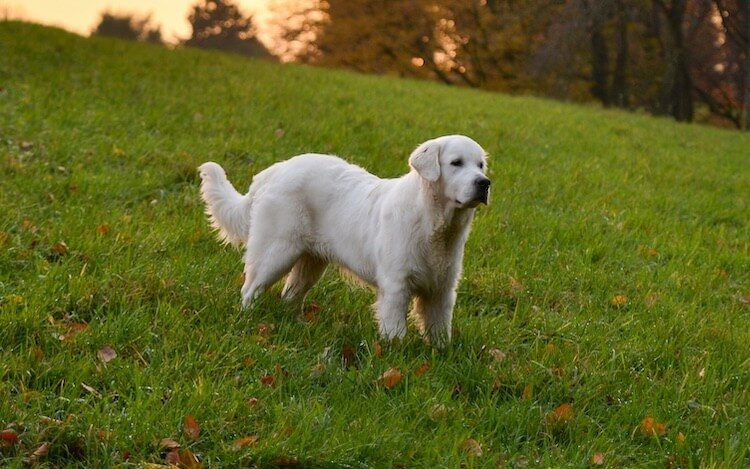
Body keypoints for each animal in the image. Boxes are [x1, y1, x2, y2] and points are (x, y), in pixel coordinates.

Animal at [200, 134, 490, 344]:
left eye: (480, 165)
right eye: (456, 163)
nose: (484, 183)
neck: (436, 225)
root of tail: (273, 171)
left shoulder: (442, 290)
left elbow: (440, 332)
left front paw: (441, 355)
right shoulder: (396, 286)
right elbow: (395, 329)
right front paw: (397, 355)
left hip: (310, 262)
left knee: (290, 295)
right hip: (275, 253)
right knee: (250, 289)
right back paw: (248, 320)